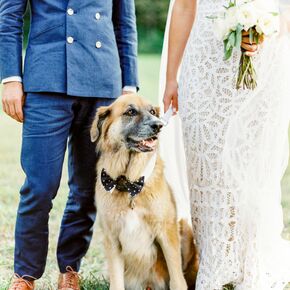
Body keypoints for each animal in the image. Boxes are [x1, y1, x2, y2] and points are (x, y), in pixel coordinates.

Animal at [90, 95, 198, 290]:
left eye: (153, 111)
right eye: (130, 111)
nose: (158, 125)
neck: (128, 183)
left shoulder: (166, 231)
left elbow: (177, 278)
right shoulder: (111, 238)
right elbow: (116, 282)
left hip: (184, 229)